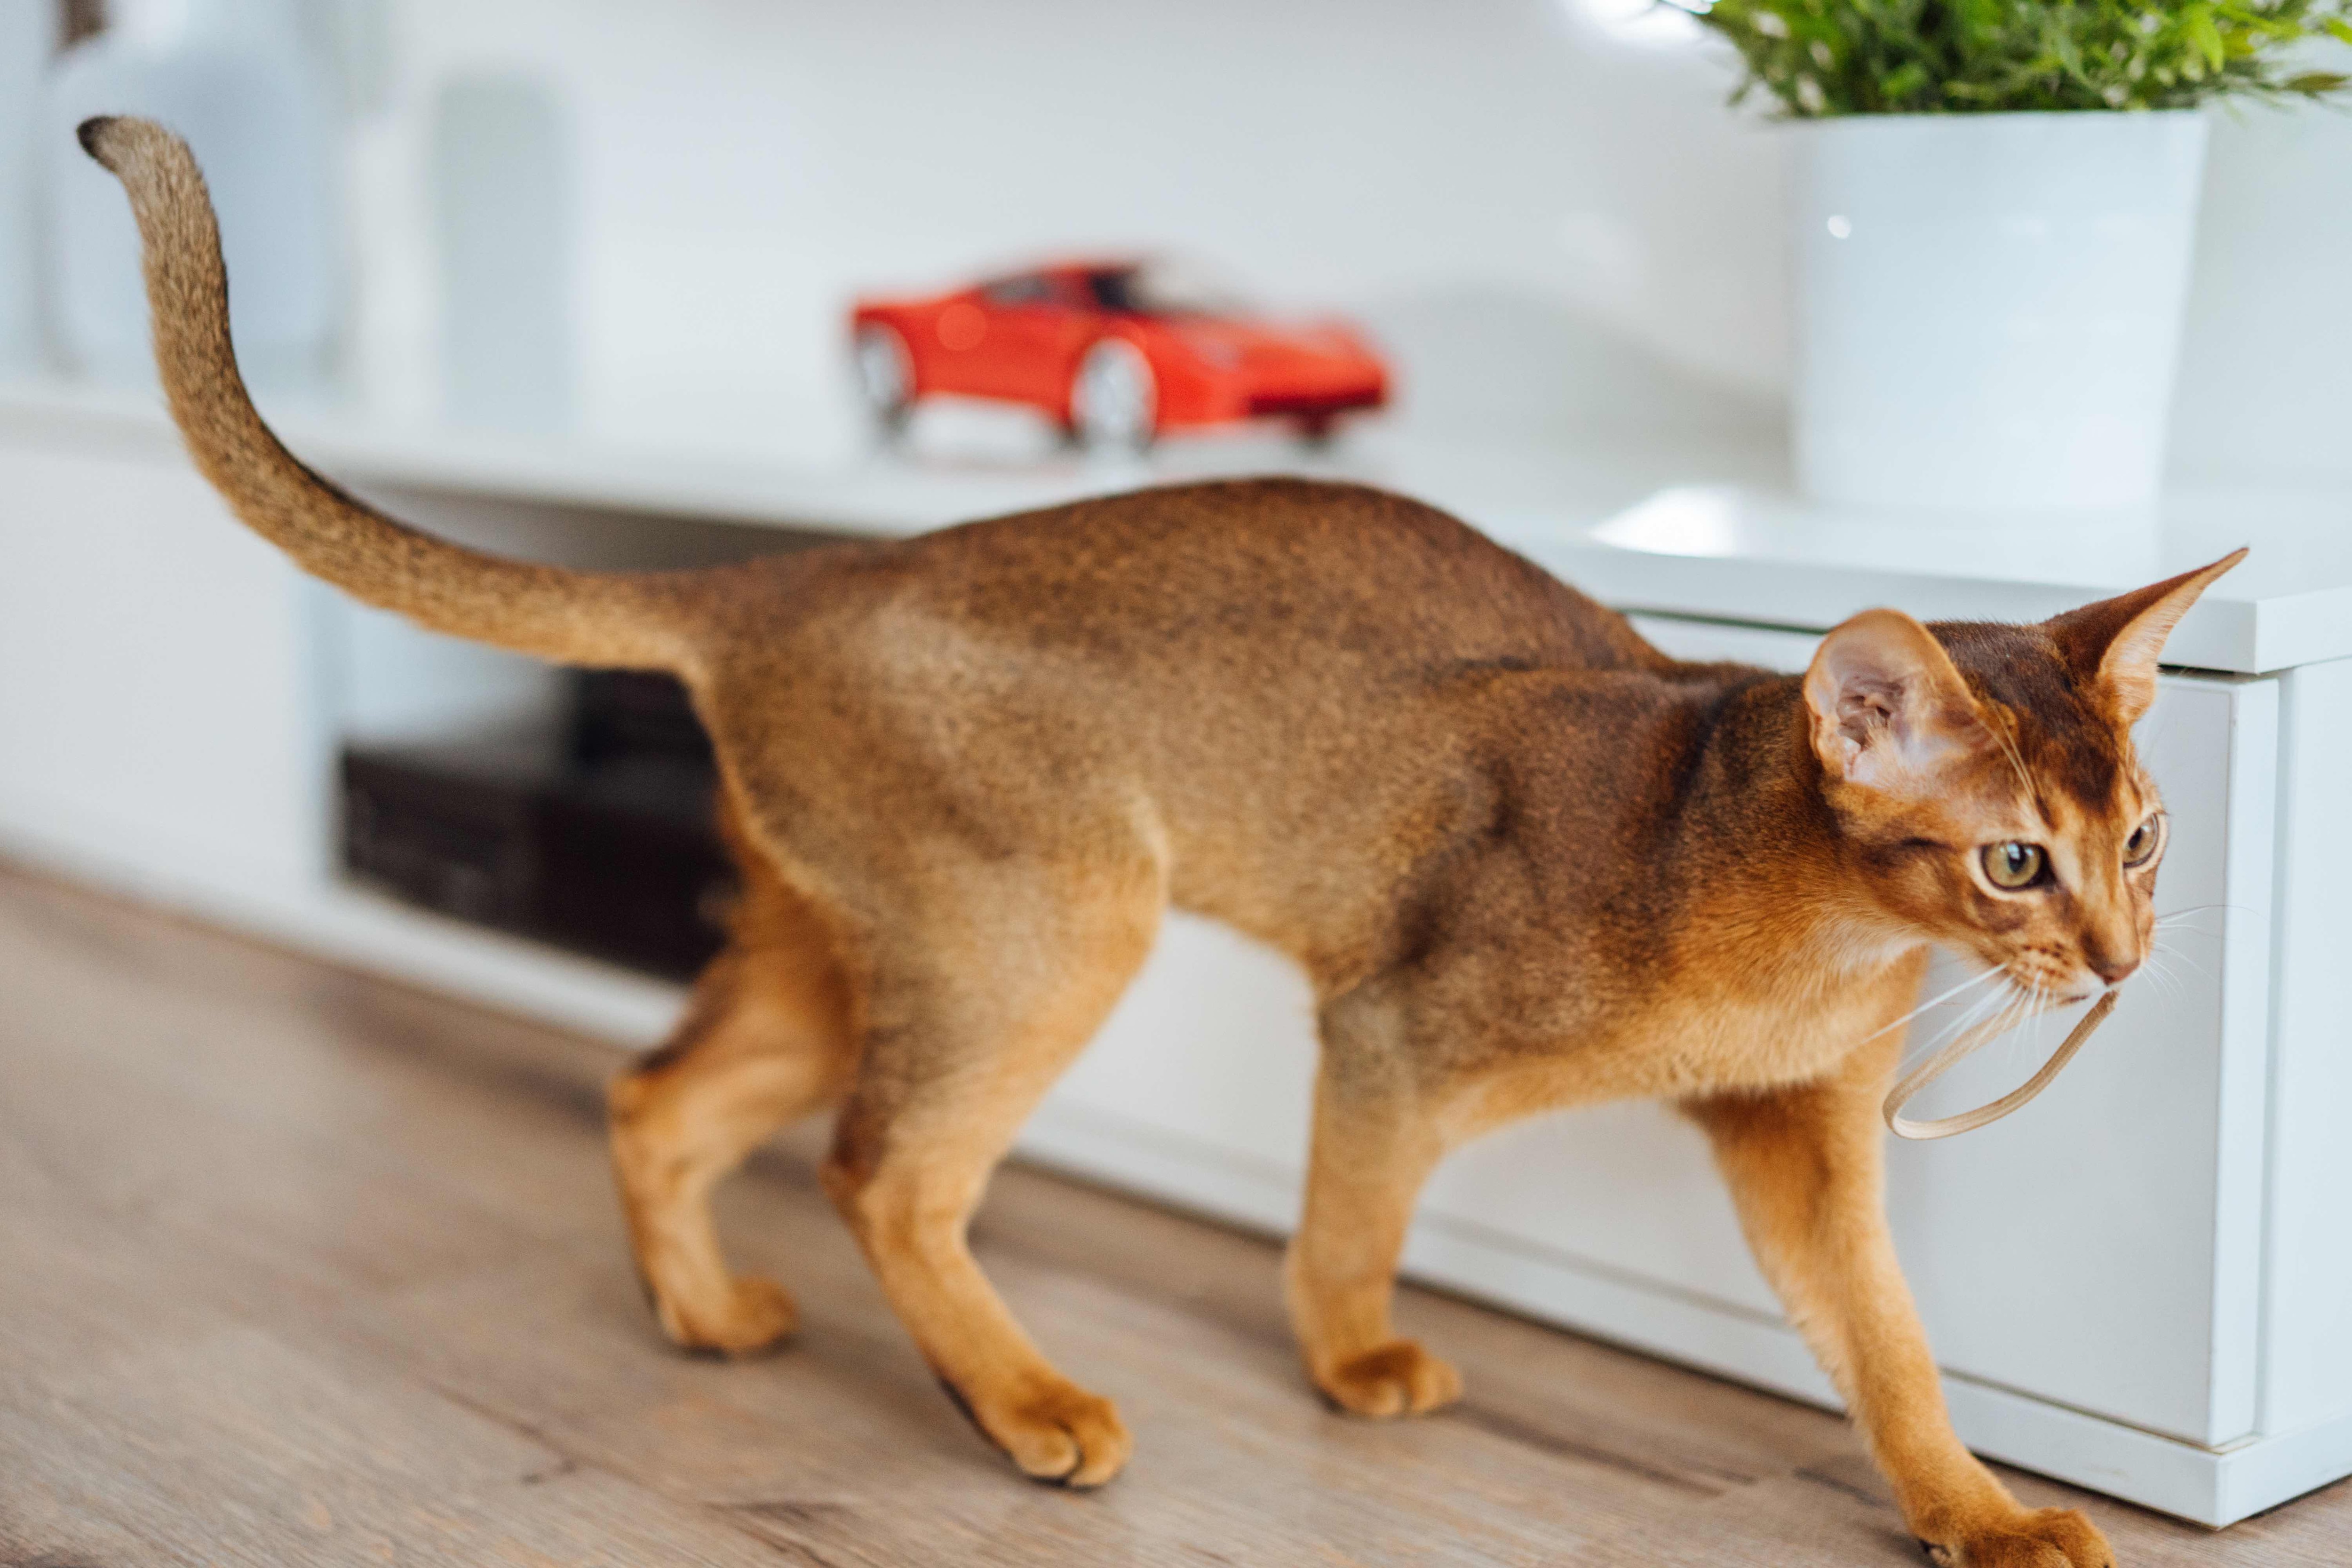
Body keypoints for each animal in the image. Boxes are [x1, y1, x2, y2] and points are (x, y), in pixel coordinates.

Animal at [87, 116, 2239, 1561]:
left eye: (2141, 838)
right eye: (2013, 862)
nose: (2126, 964)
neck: (1798, 919)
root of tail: (784, 573)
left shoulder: (1801, 1137)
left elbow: (1886, 1339)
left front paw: (1973, 1506)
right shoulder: (1387, 1029)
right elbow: (1348, 1215)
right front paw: (1351, 1362)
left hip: (847, 935)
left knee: (657, 1092)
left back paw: (703, 1316)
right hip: (1054, 925)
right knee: (880, 1166)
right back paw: (1025, 1404)